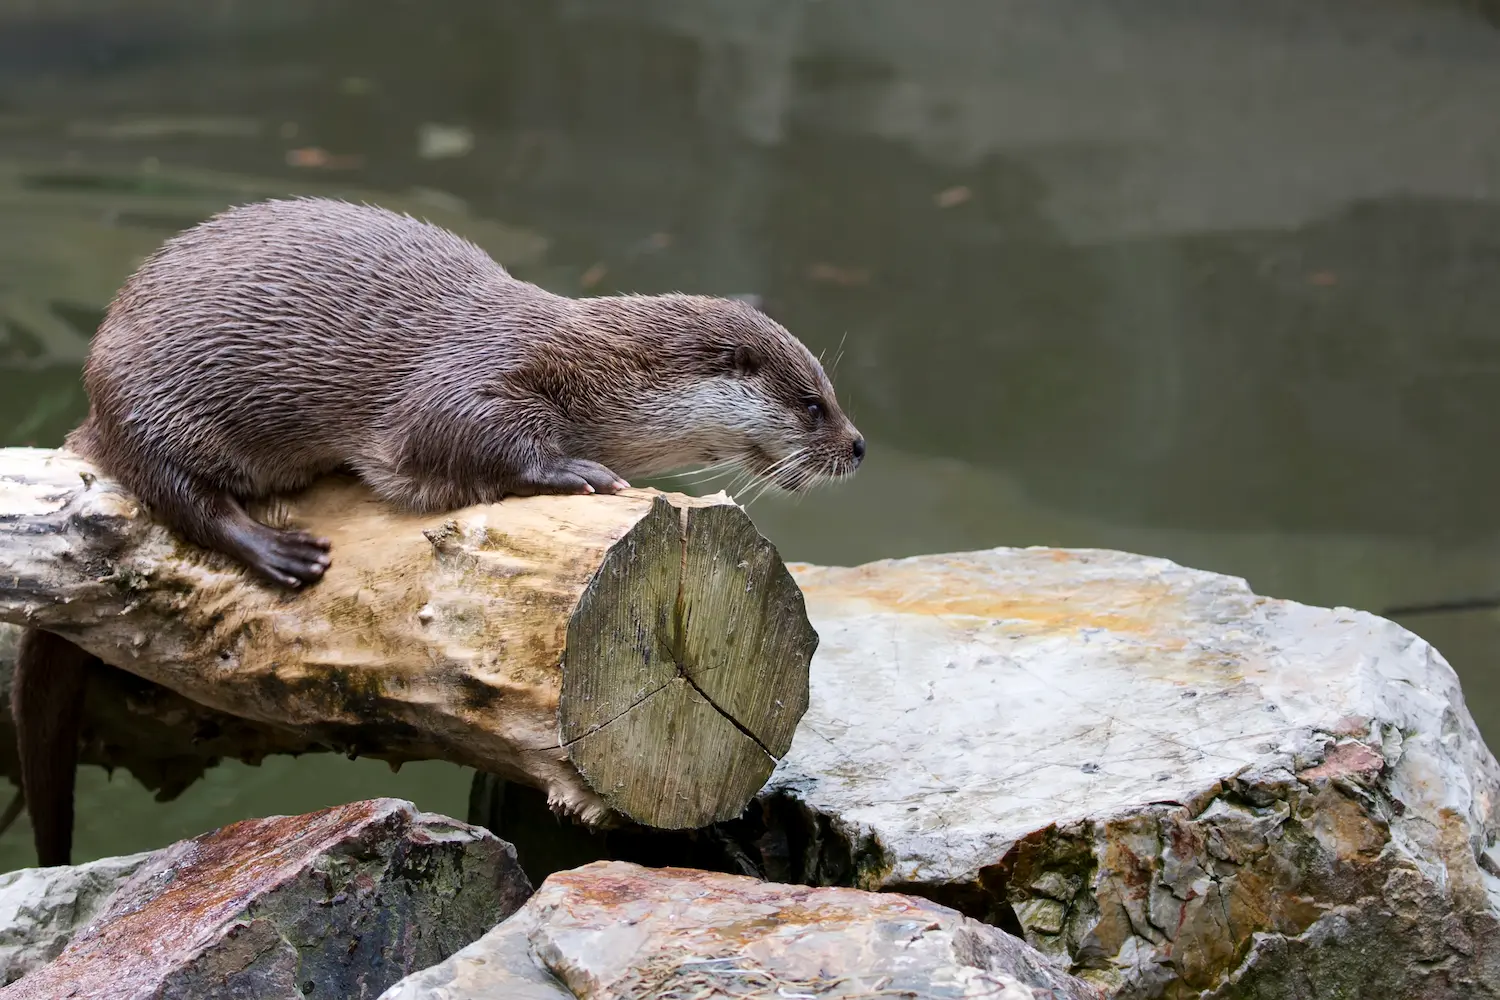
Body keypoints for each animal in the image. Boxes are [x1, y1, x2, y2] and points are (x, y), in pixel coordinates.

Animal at [11, 197, 864, 869]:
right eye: (812, 403)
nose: (857, 445)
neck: (596, 377)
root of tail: (95, 403)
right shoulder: (466, 380)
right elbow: (464, 435)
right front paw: (577, 473)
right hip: (154, 400)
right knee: (178, 495)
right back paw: (278, 551)